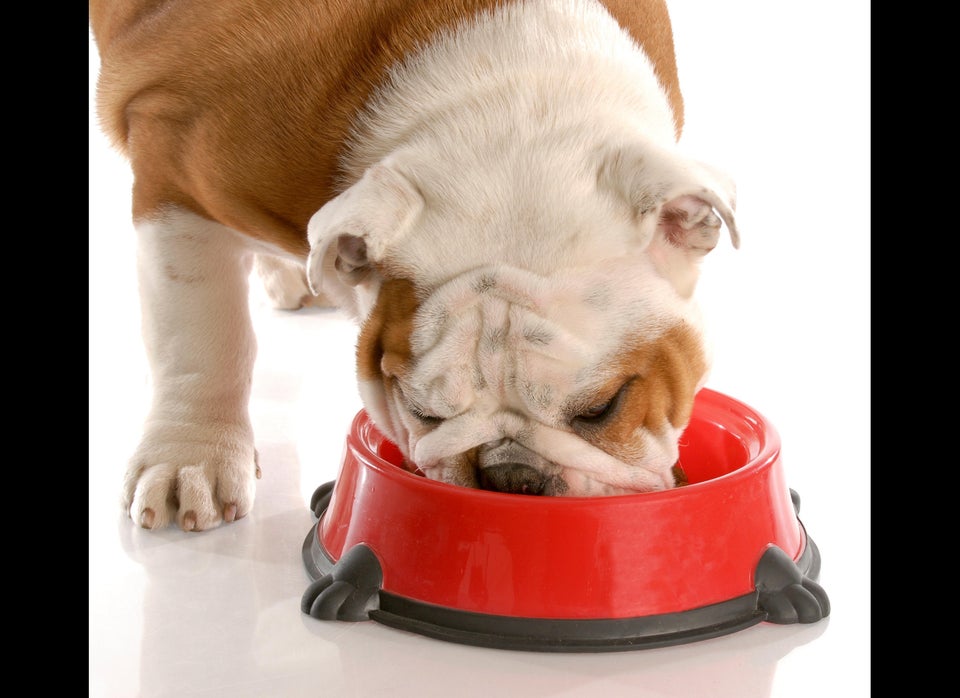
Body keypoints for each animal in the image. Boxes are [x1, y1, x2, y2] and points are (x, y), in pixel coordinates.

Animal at [90, 0, 740, 532]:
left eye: (603, 407)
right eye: (422, 411)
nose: (511, 477)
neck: (511, 101)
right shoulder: (173, 182)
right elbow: (201, 335)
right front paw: (190, 459)